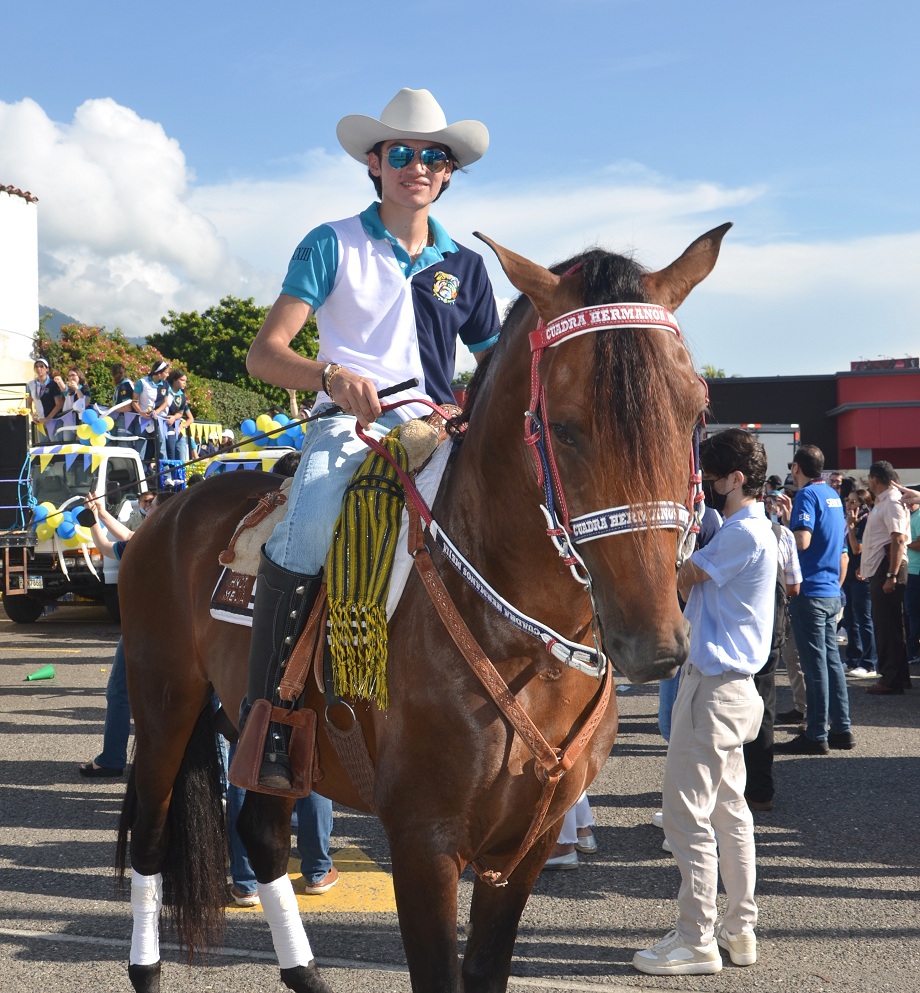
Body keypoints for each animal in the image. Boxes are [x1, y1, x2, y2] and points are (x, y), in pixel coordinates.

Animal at [117, 225, 732, 992]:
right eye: (563, 427)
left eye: (696, 412)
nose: (655, 644)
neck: (521, 639)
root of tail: (171, 503)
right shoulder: (422, 844)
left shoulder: (524, 847)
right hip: (164, 701)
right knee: (150, 833)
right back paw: (147, 969)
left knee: (259, 834)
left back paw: (307, 974)